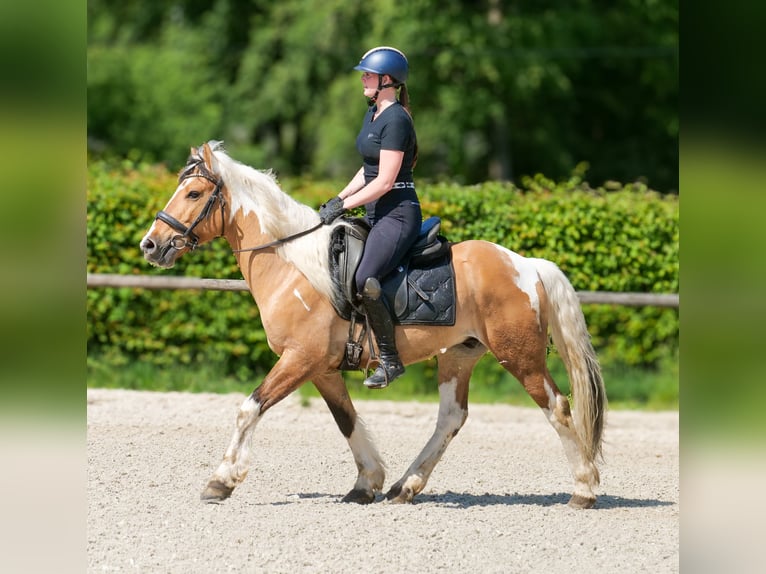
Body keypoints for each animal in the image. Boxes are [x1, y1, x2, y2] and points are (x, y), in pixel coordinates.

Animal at [140, 141, 607, 508]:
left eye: (194, 192)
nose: (150, 245)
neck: (293, 265)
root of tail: (526, 264)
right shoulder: (320, 368)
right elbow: (345, 419)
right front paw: (368, 483)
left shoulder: (299, 359)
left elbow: (249, 408)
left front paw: (220, 481)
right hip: (459, 355)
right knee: (451, 418)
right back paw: (405, 486)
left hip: (520, 356)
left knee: (558, 408)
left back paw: (583, 491)